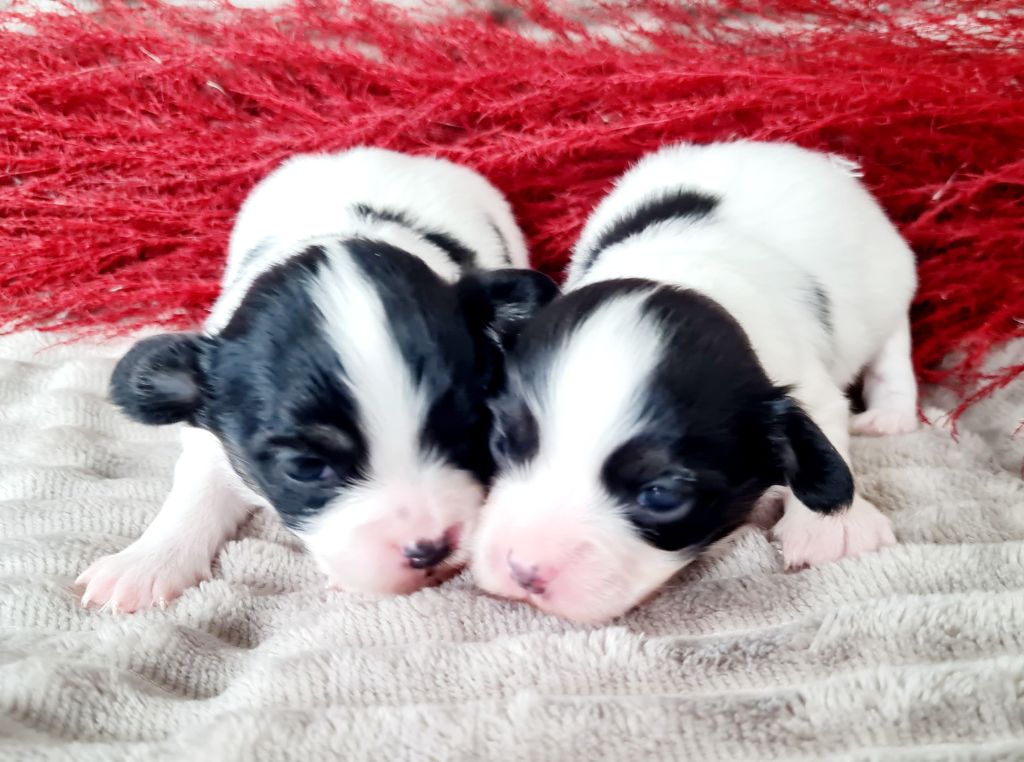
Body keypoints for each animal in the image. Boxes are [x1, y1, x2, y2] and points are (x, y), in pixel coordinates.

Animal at [75, 147, 557, 614]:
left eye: (473, 432)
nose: (431, 549)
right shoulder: (214, 440)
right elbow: (196, 490)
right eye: (305, 468)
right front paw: (145, 563)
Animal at [473, 143, 921, 626]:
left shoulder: (806, 385)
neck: (684, 275)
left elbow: (825, 434)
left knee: (892, 345)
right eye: (503, 441)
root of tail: (816, 159)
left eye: (661, 496)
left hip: (890, 280)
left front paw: (833, 527)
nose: (523, 570)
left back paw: (890, 415)